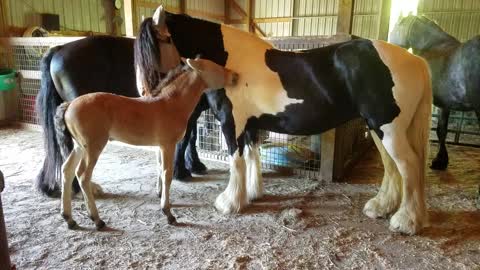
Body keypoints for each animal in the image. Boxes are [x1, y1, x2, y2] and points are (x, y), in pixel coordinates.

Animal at [54, 58, 238, 229]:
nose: (235, 76)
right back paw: (97, 220)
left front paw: (162, 197)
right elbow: (167, 174)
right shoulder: (168, 145)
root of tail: (69, 105)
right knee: (83, 175)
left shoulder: (159, 146)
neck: (171, 104)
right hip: (92, 147)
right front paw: (168, 213)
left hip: (79, 146)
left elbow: (159, 170)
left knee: (66, 170)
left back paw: (69, 218)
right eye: (215, 67)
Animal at [138, 5, 432, 234]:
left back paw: (406, 222)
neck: (228, 62)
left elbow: (236, 161)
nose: (146, 93)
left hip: (388, 129)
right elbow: (252, 157)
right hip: (377, 127)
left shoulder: (232, 123)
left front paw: (229, 203)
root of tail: (416, 60)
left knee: (409, 166)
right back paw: (380, 208)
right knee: (392, 167)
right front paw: (252, 194)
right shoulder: (251, 125)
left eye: (154, 47)